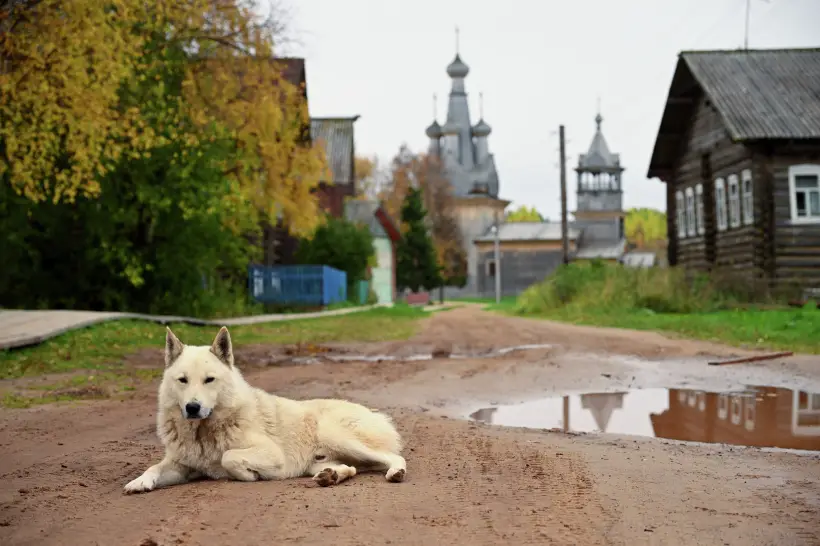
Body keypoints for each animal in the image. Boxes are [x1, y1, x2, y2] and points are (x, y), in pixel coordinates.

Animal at [125, 326, 406, 490]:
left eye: (209, 380)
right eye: (182, 380)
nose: (193, 407)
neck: (203, 432)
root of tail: (376, 414)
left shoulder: (272, 454)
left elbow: (229, 457)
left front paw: (249, 475)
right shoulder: (180, 465)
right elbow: (154, 467)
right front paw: (140, 481)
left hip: (336, 435)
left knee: (393, 458)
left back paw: (395, 472)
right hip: (320, 461)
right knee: (352, 468)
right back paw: (332, 476)